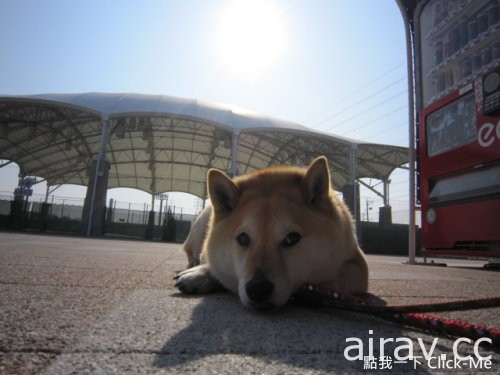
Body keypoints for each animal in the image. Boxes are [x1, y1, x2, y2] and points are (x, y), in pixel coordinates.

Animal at [175, 157, 368, 310]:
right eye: (243, 238)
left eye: (292, 238)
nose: (258, 288)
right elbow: (214, 267)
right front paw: (198, 274)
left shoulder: (358, 264)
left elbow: (334, 279)